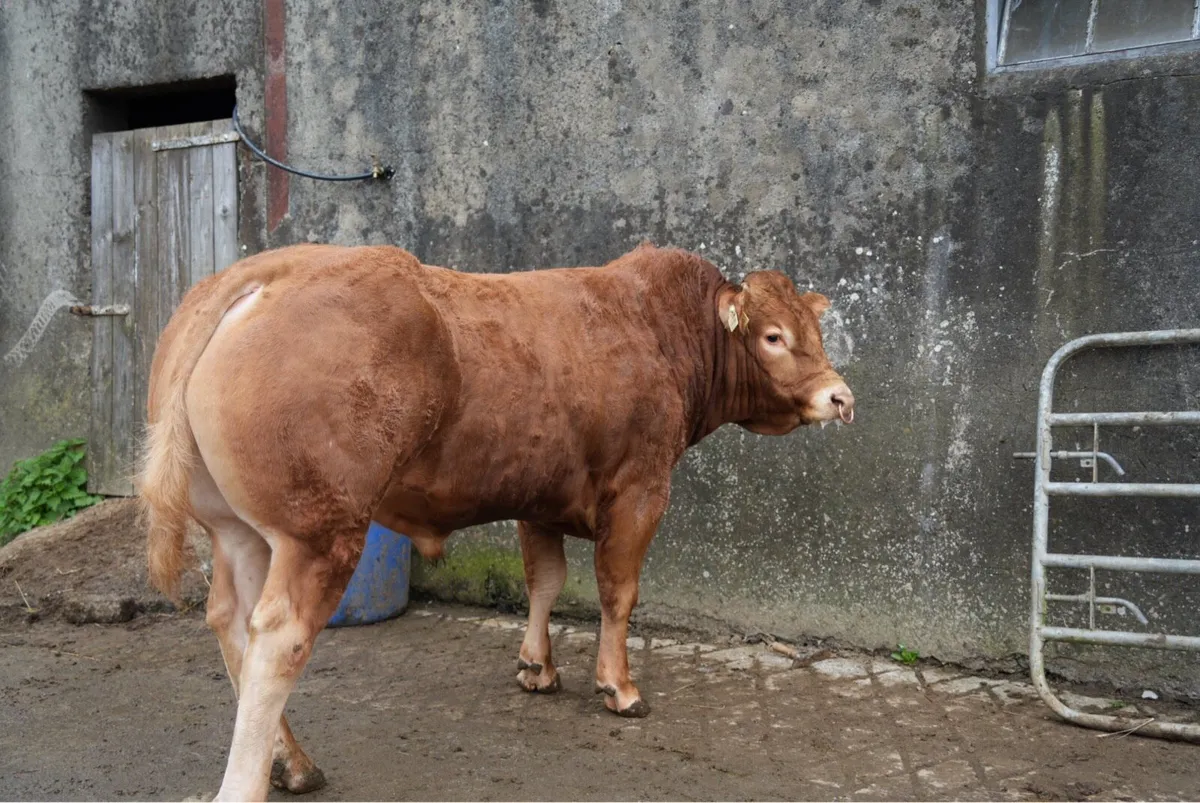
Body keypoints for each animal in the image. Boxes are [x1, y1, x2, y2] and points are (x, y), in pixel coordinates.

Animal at [139, 242, 854, 801]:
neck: (657, 329)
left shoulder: (538, 497)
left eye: (813, 333)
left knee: (231, 620)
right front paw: (619, 686)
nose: (841, 397)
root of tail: (264, 270)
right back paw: (248, 783)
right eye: (773, 336)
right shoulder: (641, 489)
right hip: (319, 528)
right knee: (279, 638)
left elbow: (544, 579)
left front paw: (537, 667)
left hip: (238, 530)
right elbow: (617, 592)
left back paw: (293, 762)